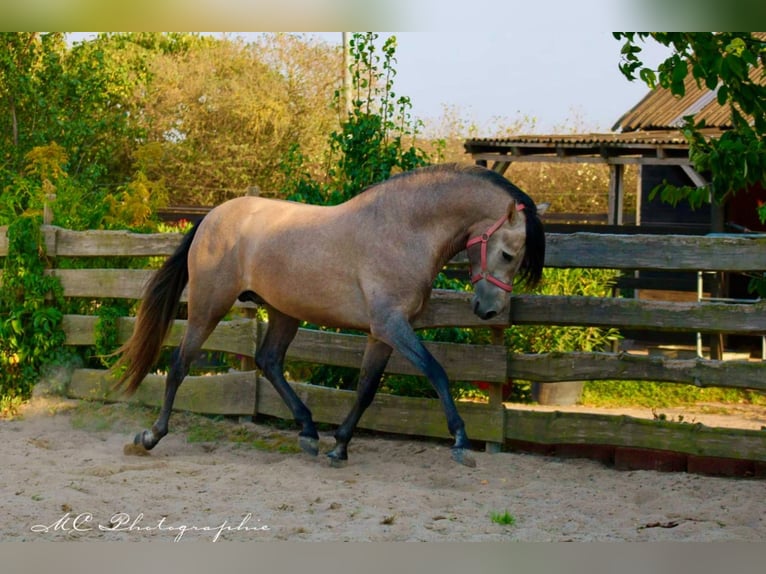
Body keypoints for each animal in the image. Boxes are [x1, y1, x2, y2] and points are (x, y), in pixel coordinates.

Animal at [112, 164, 544, 470]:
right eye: (507, 253)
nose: (489, 309)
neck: (404, 230)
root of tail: (212, 217)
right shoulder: (391, 324)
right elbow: (436, 372)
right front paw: (461, 442)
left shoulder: (382, 333)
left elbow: (367, 388)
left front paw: (340, 445)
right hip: (209, 305)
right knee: (179, 363)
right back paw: (151, 436)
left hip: (283, 312)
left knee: (269, 361)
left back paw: (308, 431)